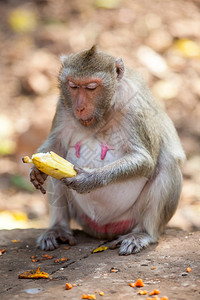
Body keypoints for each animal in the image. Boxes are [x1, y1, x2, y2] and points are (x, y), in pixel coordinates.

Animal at [30, 45, 186, 254]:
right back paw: (58, 228)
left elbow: (145, 159)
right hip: (82, 216)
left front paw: (89, 179)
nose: (79, 107)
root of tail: (103, 231)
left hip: (131, 217)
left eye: (91, 87)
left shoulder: (134, 106)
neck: (105, 111)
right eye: (73, 86)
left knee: (167, 163)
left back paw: (142, 233)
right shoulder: (63, 105)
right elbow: (56, 145)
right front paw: (36, 170)